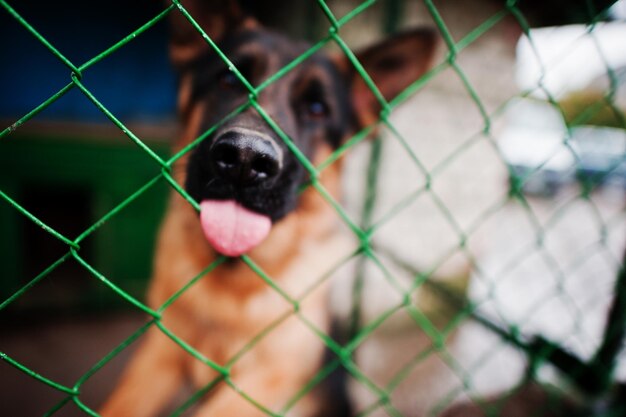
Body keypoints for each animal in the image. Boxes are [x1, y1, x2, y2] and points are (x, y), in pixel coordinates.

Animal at [100, 1, 436, 414]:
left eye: (316, 108)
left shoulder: (268, 377)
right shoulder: (158, 355)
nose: (245, 158)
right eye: (228, 81)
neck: (229, 289)